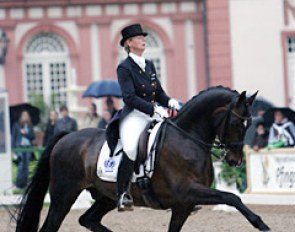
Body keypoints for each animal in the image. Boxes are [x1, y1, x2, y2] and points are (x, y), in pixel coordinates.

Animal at [15, 86, 270, 231]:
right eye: (236, 123)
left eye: (250, 123)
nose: (235, 161)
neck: (187, 138)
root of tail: (66, 136)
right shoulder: (188, 192)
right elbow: (232, 197)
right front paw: (262, 224)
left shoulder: (183, 205)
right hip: (64, 195)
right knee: (52, 226)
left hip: (106, 196)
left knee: (88, 220)